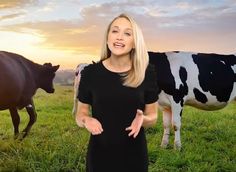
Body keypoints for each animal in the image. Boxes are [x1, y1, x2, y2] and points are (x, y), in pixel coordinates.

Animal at [73, 51, 235, 149]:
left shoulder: (178, 98)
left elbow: (176, 124)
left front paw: (177, 147)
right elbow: (166, 124)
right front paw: (164, 145)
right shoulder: (164, 103)